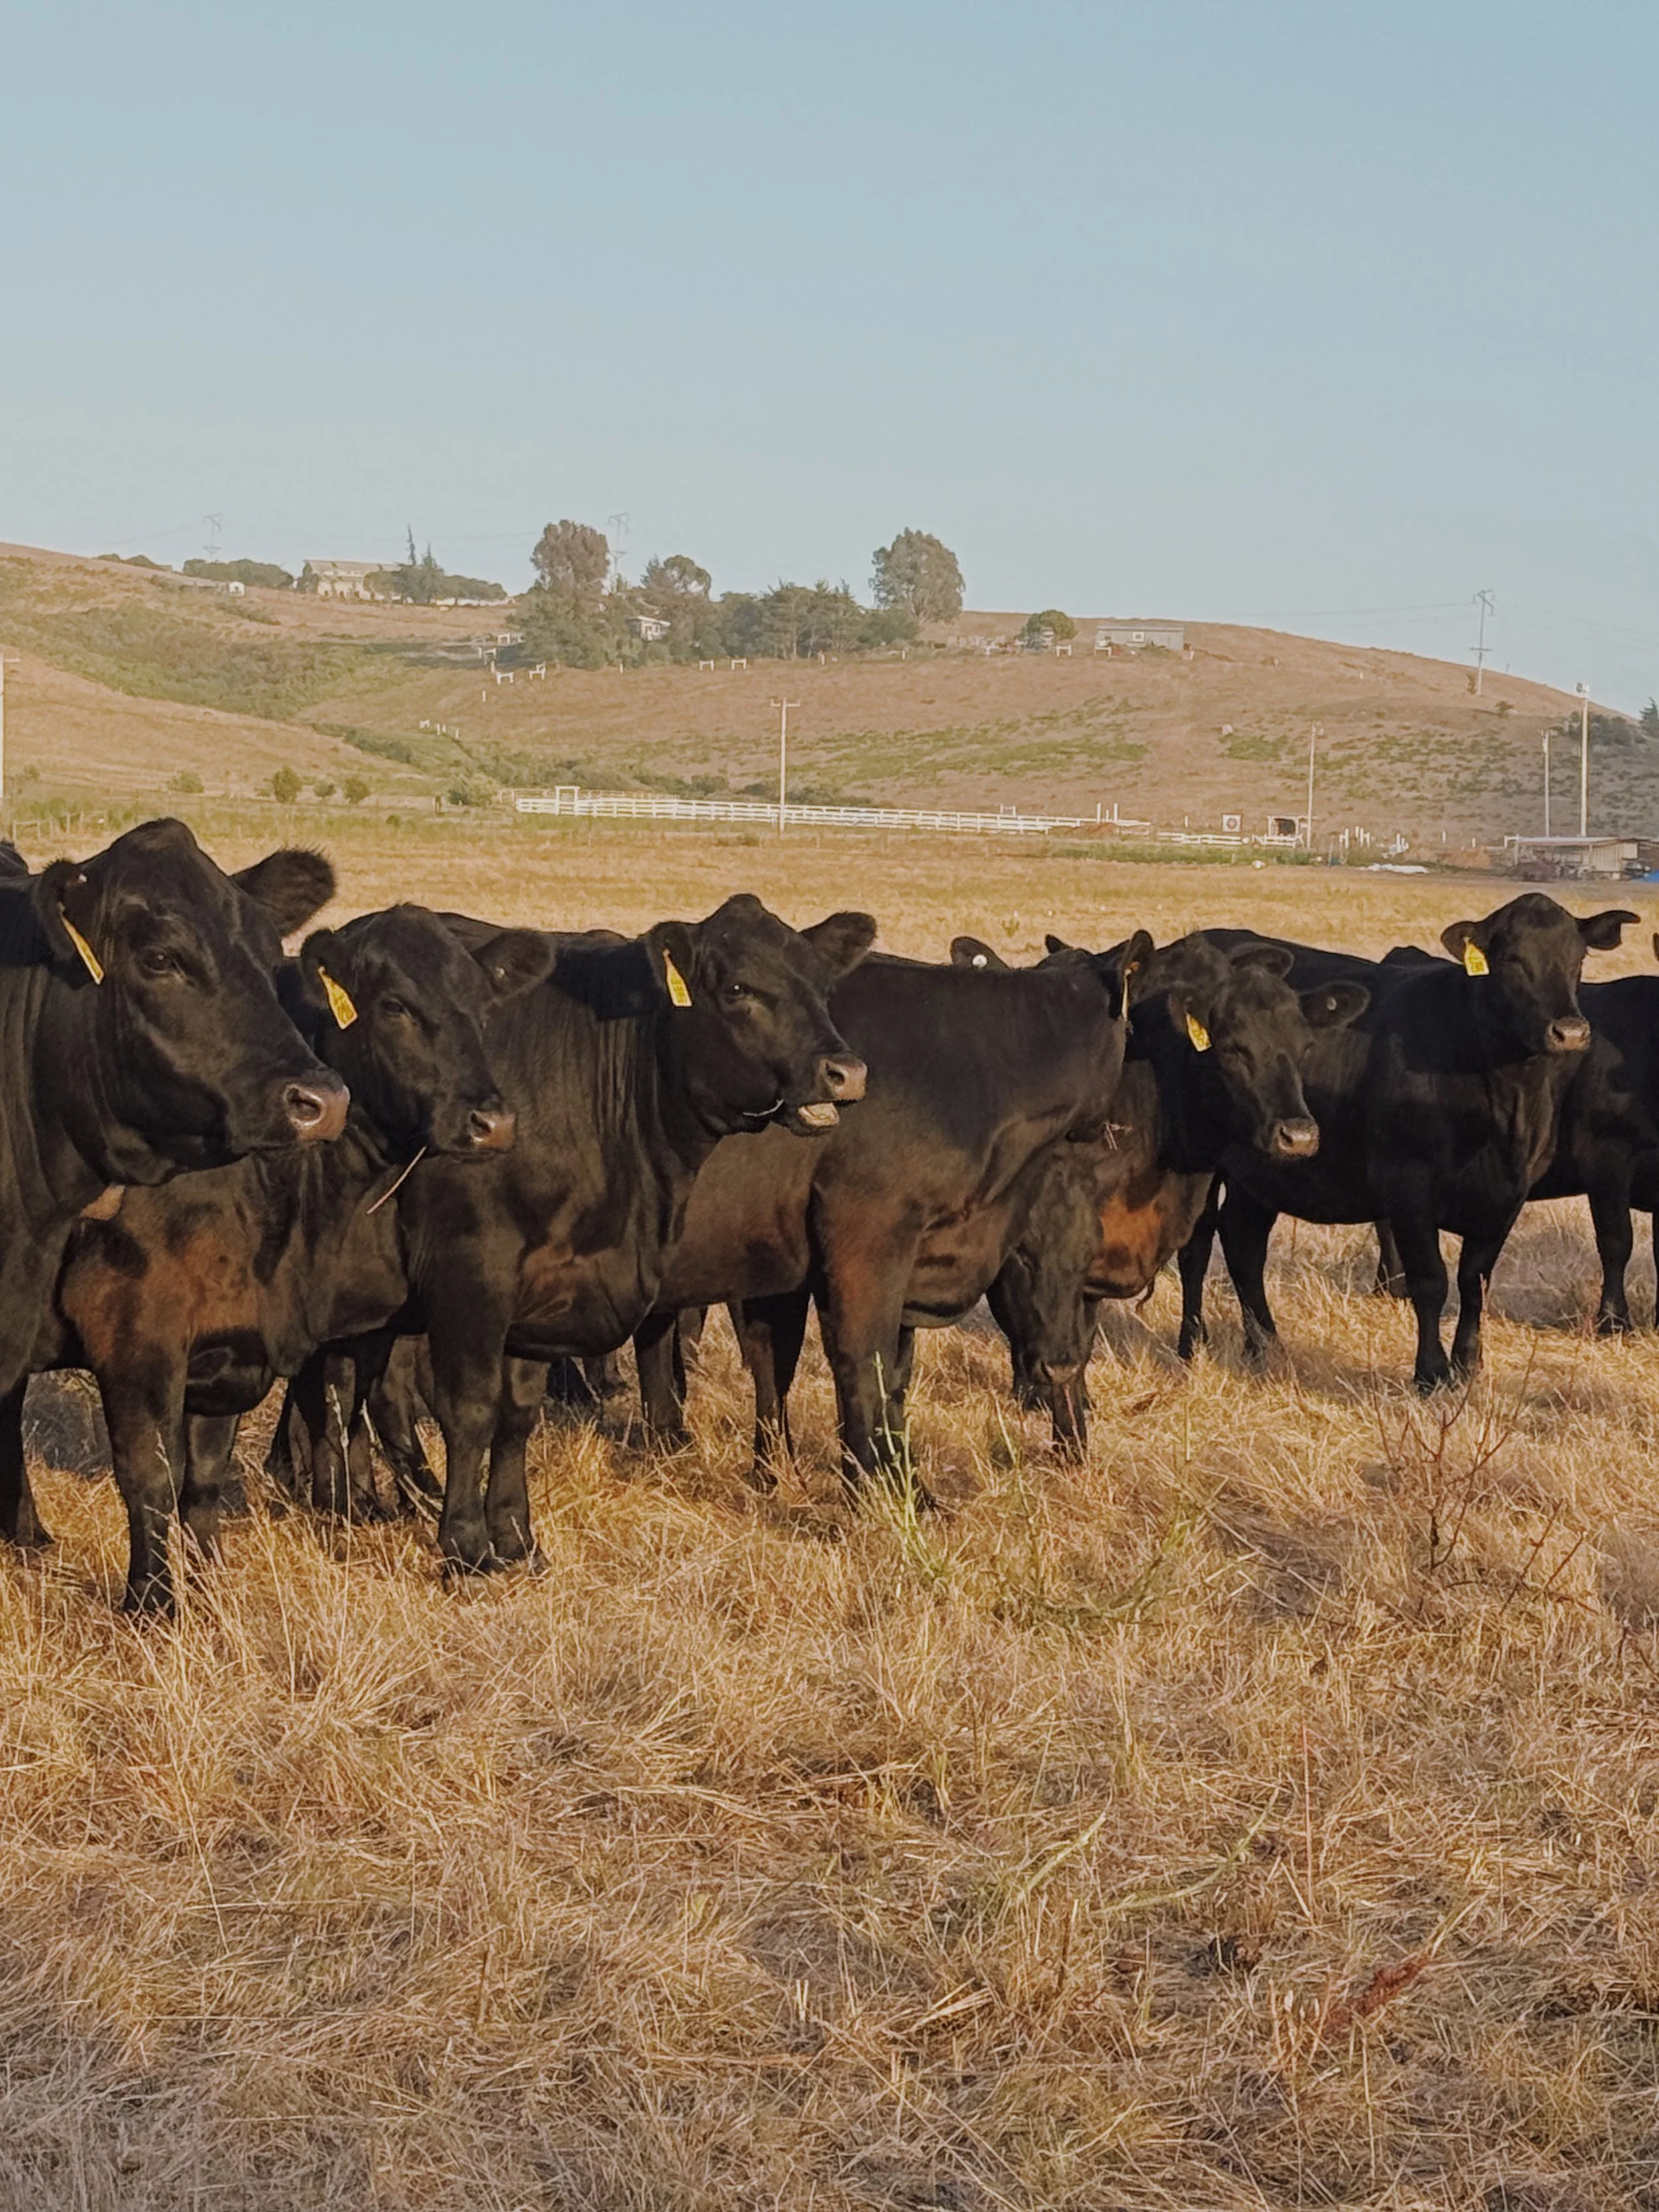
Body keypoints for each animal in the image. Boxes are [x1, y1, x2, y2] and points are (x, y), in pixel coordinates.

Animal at [1, 903, 549, 1611]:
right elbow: (148, 1477)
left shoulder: (231, 1346)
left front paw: (207, 1577)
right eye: (395, 1005)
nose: (493, 1123)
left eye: (483, 1009)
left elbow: (204, 1477)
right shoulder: (133, 1332)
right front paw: (153, 1603)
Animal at [631, 935, 1151, 1498]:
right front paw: (887, 1491)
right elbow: (860, 1363)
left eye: (1086, 1256)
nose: (1062, 1365)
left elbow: (843, 1369)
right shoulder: (866, 1237)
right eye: (1023, 1259)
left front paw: (817, 1474)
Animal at [1175, 894, 1637, 1390]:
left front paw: (1468, 1364)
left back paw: (1265, 1346)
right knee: (1196, 1247)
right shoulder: (1409, 1187)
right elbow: (1431, 1281)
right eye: (1513, 958)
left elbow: (1475, 1280)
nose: (1570, 1031)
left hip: (1262, 1175)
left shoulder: (1507, 1197)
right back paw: (1193, 1344)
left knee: (1243, 1241)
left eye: (1579, 958)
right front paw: (1431, 1373)